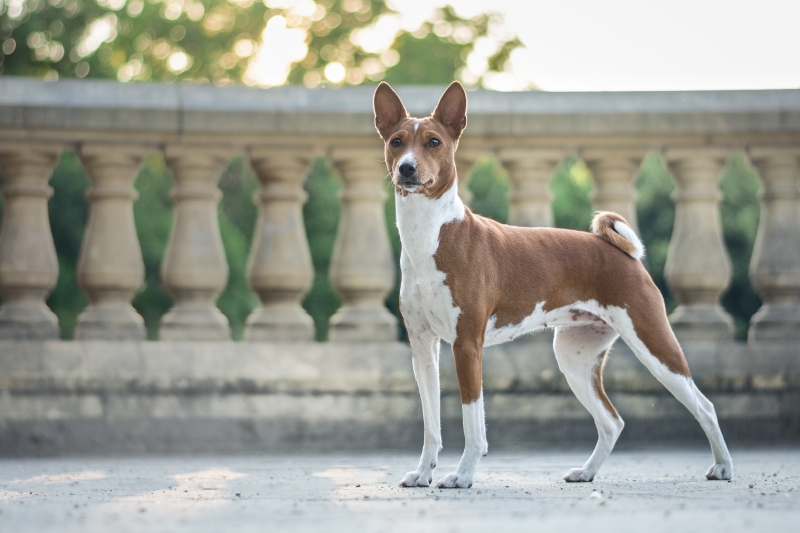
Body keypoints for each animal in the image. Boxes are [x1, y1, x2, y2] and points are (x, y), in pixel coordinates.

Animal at [372, 78, 736, 486]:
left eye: (433, 142)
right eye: (397, 142)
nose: (407, 168)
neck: (431, 235)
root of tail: (624, 254)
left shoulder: (467, 345)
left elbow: (472, 423)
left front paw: (463, 476)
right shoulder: (423, 346)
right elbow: (431, 424)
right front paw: (424, 473)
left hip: (653, 343)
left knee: (704, 405)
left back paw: (723, 466)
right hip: (573, 356)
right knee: (612, 421)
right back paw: (586, 471)